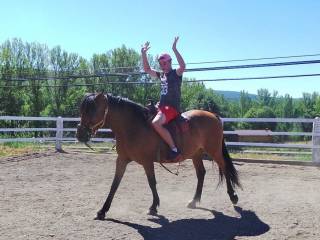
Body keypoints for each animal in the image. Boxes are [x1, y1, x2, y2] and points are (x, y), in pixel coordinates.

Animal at [75, 93, 240, 220]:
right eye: (82, 110)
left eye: (92, 110)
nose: (80, 134)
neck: (133, 126)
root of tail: (213, 115)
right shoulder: (121, 160)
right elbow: (114, 184)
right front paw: (102, 211)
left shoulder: (147, 162)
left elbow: (152, 182)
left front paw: (153, 207)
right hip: (196, 154)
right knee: (201, 173)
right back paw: (194, 201)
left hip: (214, 151)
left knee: (224, 168)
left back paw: (233, 196)